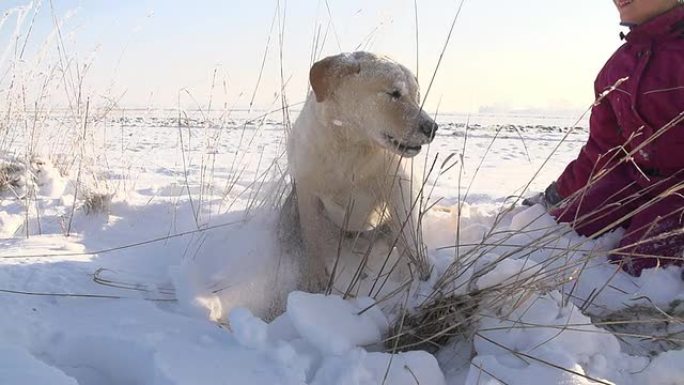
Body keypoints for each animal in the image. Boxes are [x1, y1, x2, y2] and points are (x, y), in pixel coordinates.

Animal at [284, 50, 438, 292]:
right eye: (395, 93)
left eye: (417, 96)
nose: (432, 128)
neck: (352, 148)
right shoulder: (306, 191)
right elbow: (312, 236)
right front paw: (315, 278)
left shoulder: (400, 188)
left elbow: (409, 234)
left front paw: (419, 274)